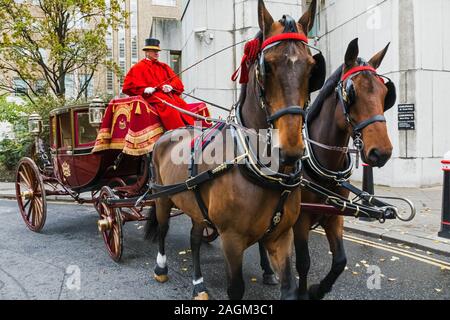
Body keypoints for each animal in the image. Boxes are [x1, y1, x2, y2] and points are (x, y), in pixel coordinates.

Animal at [145, 0, 324, 300]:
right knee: (162, 228)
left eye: (312, 68)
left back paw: (198, 283)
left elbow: (288, 286)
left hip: (195, 205)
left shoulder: (282, 235)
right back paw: (160, 268)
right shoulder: (232, 239)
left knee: (195, 239)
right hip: (163, 197)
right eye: (266, 67)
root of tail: (166, 134)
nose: (290, 150)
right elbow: (236, 288)